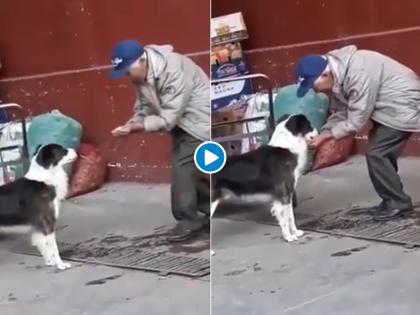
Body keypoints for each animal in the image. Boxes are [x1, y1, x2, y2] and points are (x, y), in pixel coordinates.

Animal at [212, 115, 316, 243]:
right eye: (309, 124)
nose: (317, 131)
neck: (287, 146)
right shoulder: (282, 195)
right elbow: (285, 220)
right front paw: (289, 236)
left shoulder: (288, 194)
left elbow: (290, 216)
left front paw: (295, 232)